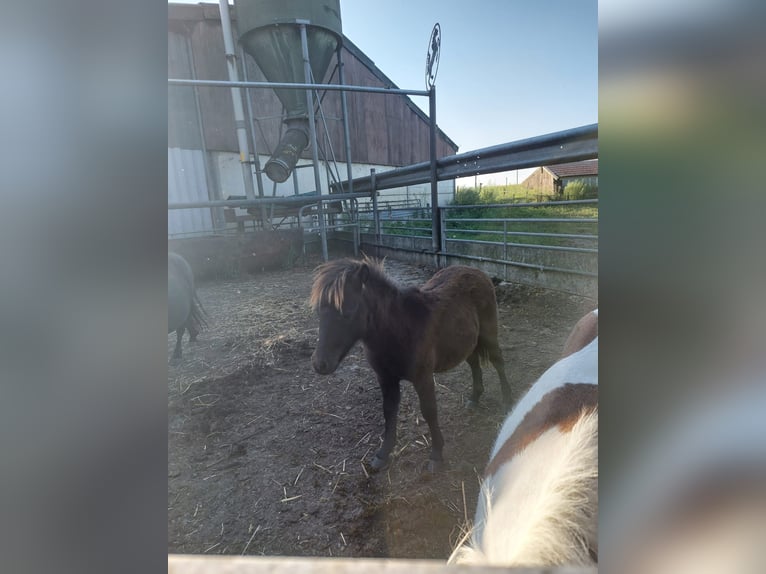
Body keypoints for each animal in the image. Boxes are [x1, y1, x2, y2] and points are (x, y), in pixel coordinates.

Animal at [308, 258, 512, 474]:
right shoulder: (386, 379)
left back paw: (508, 400)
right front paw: (382, 455)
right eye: (319, 311)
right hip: (467, 342)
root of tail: (476, 271)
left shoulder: (423, 377)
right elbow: (389, 411)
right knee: (474, 363)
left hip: (489, 333)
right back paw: (474, 399)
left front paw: (436, 455)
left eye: (348, 310)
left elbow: (429, 411)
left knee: (498, 361)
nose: (320, 363)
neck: (400, 329)